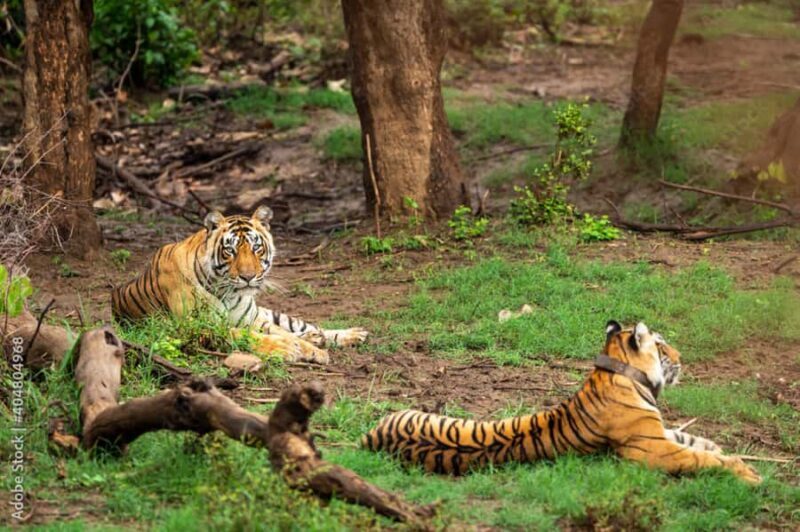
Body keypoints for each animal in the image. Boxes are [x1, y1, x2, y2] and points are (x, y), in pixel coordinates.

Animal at [111, 206, 368, 363]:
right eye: (230, 250)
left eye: (256, 248)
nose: (248, 276)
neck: (229, 293)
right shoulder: (197, 327)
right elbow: (252, 337)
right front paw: (287, 349)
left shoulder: (252, 319)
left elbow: (284, 333)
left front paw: (314, 351)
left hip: (268, 314)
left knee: (303, 326)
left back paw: (349, 334)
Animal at [362, 321, 761, 484]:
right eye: (662, 346)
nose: (681, 357)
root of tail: (370, 437)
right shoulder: (651, 449)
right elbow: (699, 457)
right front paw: (747, 473)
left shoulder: (658, 433)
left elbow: (693, 439)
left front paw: (722, 448)